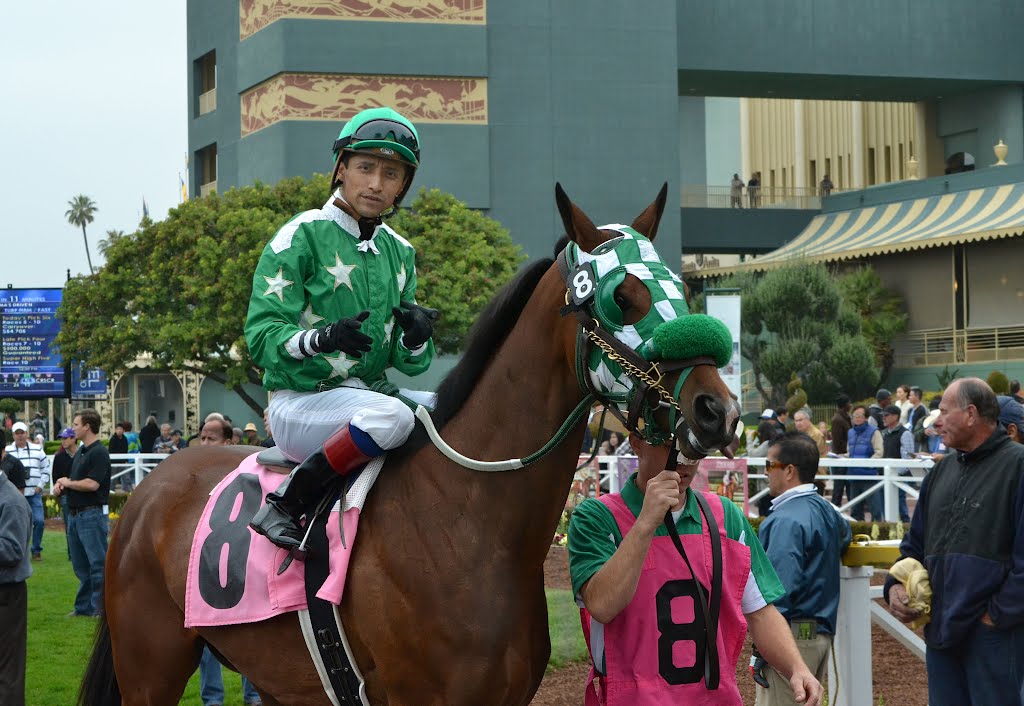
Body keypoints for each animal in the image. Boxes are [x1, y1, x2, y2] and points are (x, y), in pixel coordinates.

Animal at [79, 185, 737, 704]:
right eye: (621, 296)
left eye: (680, 287)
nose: (717, 412)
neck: (467, 517)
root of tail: (153, 484)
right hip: (150, 665)